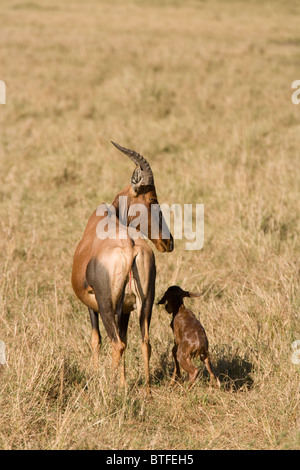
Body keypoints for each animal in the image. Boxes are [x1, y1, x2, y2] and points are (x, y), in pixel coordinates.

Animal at [71, 141, 173, 392]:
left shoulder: (93, 305)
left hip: (107, 305)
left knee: (116, 344)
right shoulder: (126, 309)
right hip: (145, 303)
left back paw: (108, 388)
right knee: (144, 342)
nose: (169, 242)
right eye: (153, 198)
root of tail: (131, 247)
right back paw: (146, 389)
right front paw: (125, 383)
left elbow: (96, 340)